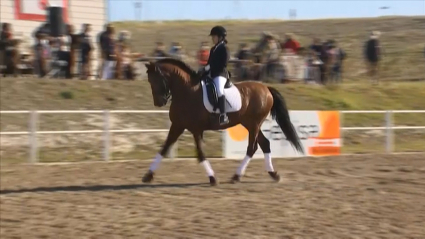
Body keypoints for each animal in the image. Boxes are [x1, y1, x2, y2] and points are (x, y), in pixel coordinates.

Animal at [141, 58, 304, 186]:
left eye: (156, 80)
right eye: (149, 80)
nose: (159, 103)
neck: (186, 92)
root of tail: (266, 88)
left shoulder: (196, 129)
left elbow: (200, 153)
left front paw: (212, 178)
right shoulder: (178, 126)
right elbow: (164, 148)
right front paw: (148, 175)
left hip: (254, 124)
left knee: (252, 148)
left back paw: (236, 176)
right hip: (250, 124)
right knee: (265, 144)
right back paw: (273, 174)